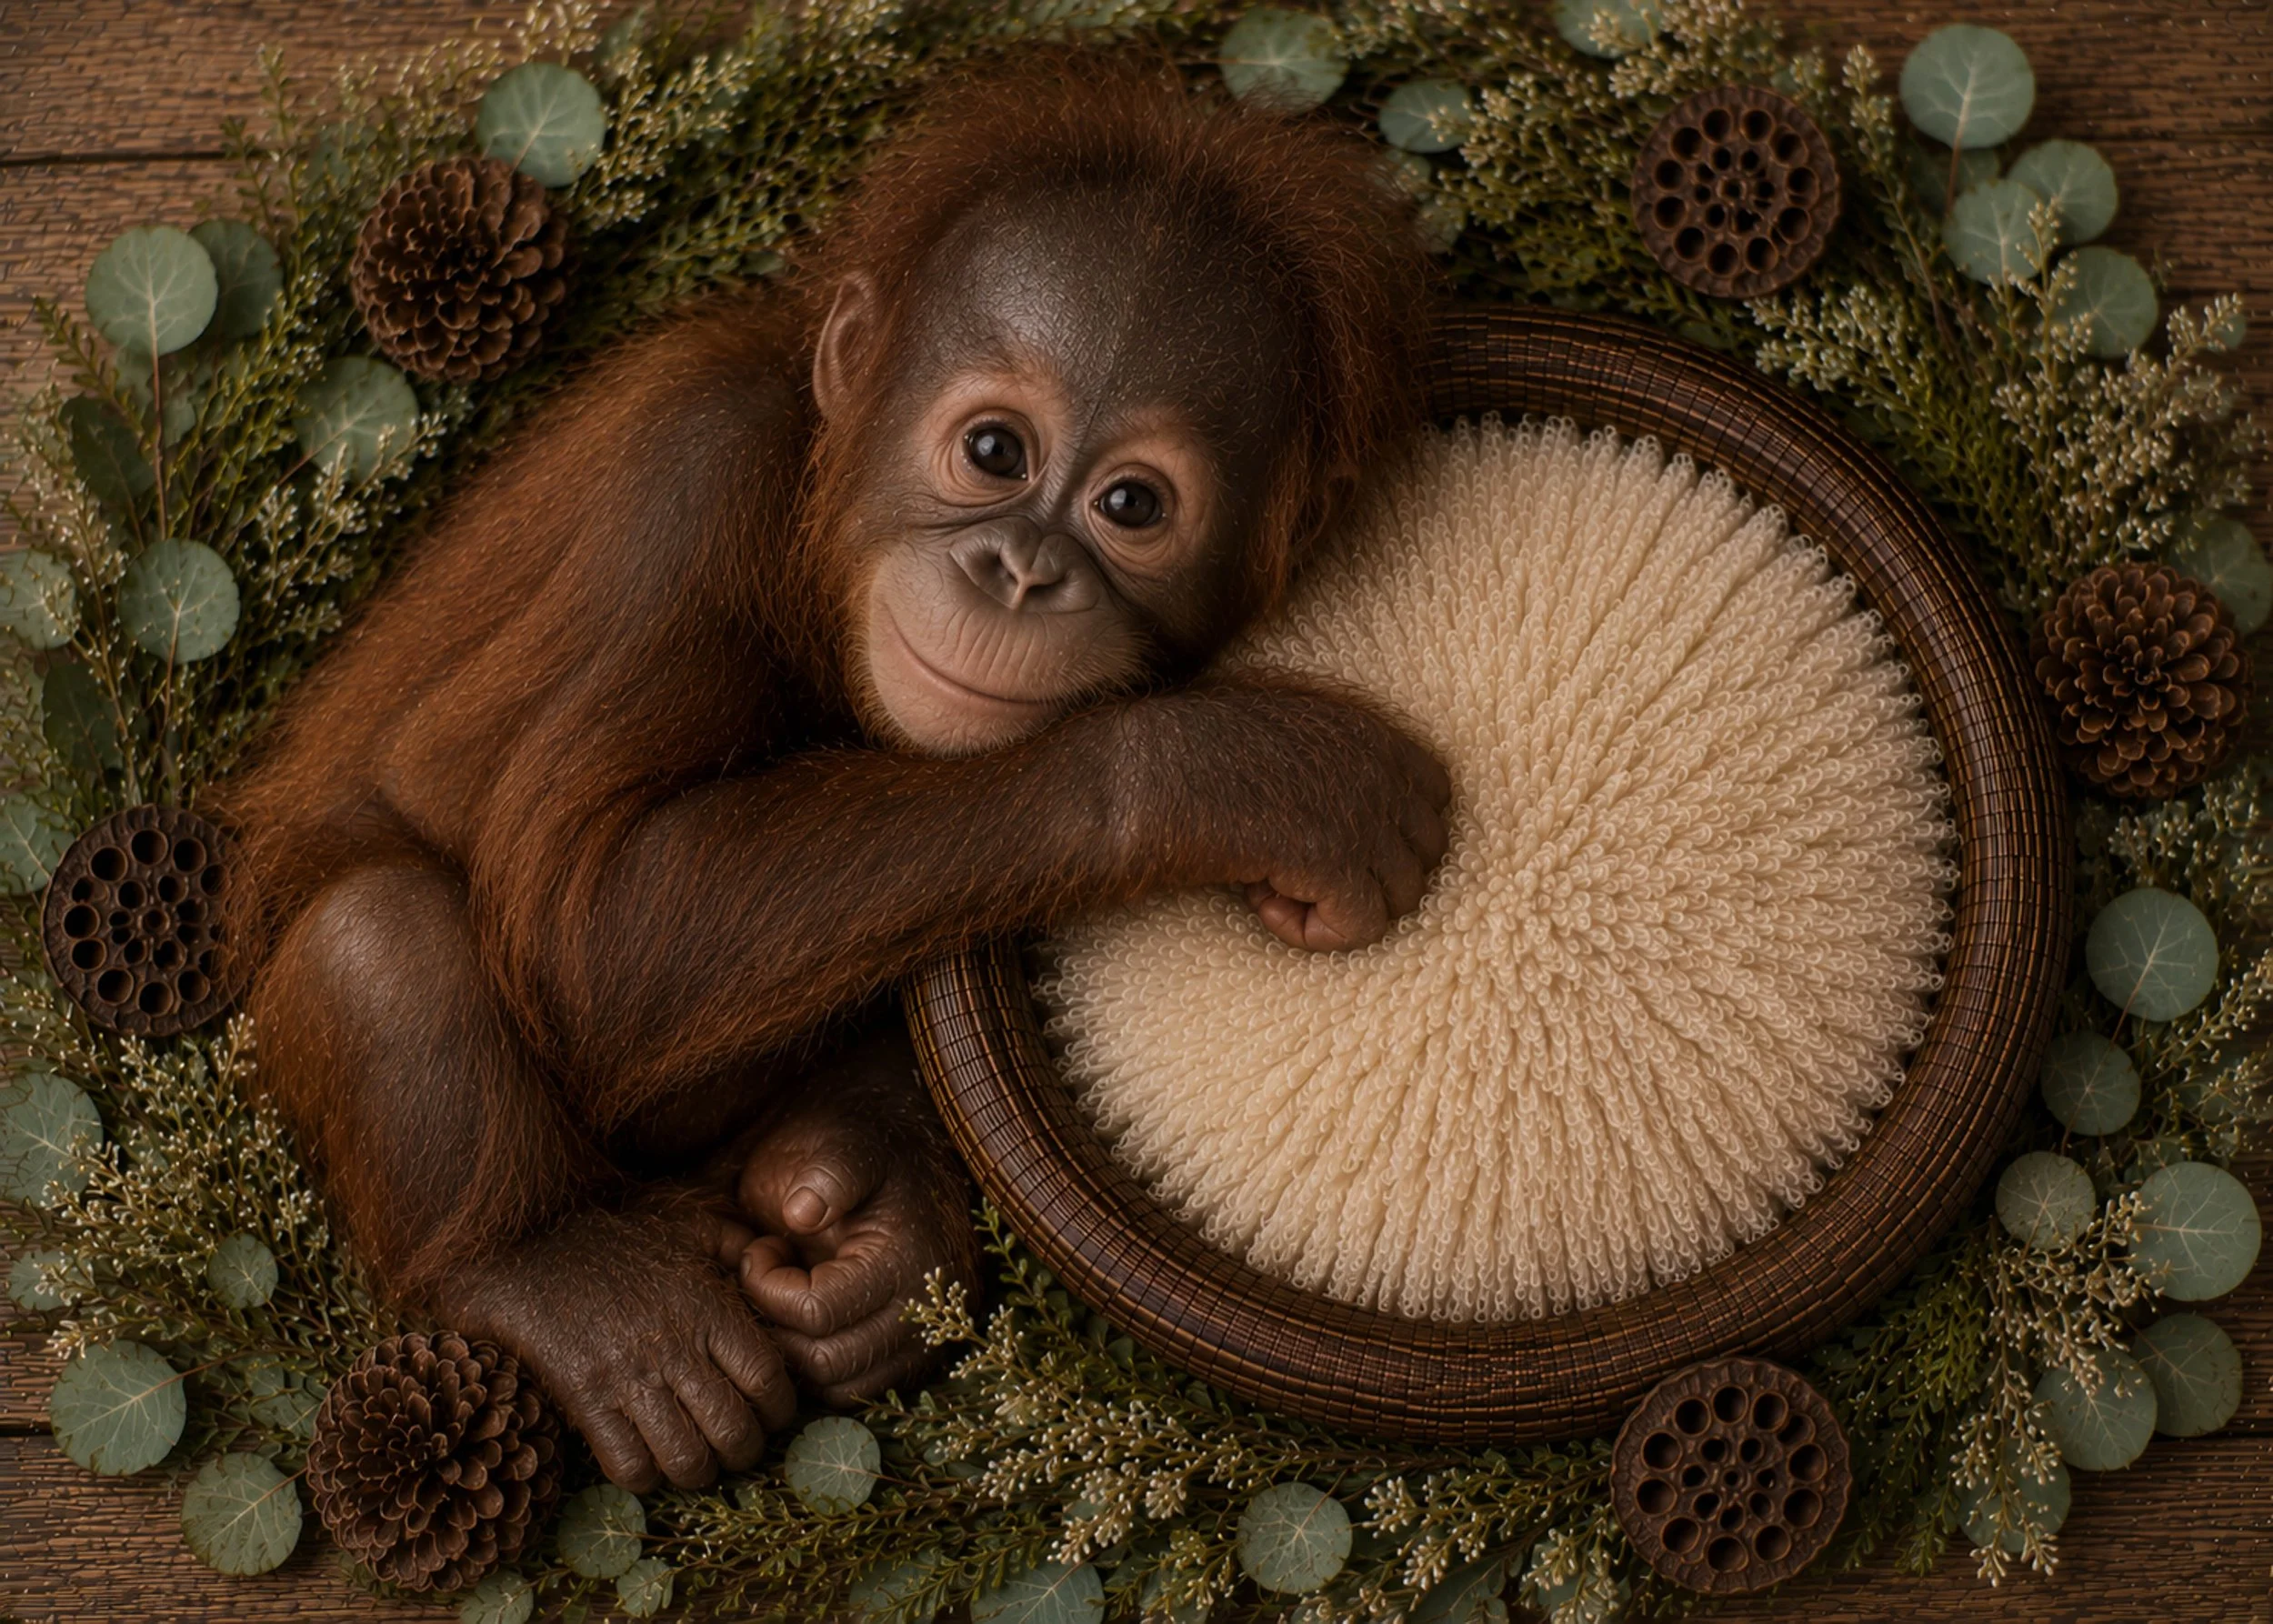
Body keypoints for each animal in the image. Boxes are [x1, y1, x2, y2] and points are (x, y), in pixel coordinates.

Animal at [220, 49, 1449, 1495]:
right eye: (994, 451)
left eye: (1132, 506)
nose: (1020, 571)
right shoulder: (687, 483)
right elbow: (585, 919)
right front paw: (1243, 773)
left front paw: (876, 1227)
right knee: (377, 929)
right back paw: (566, 1280)